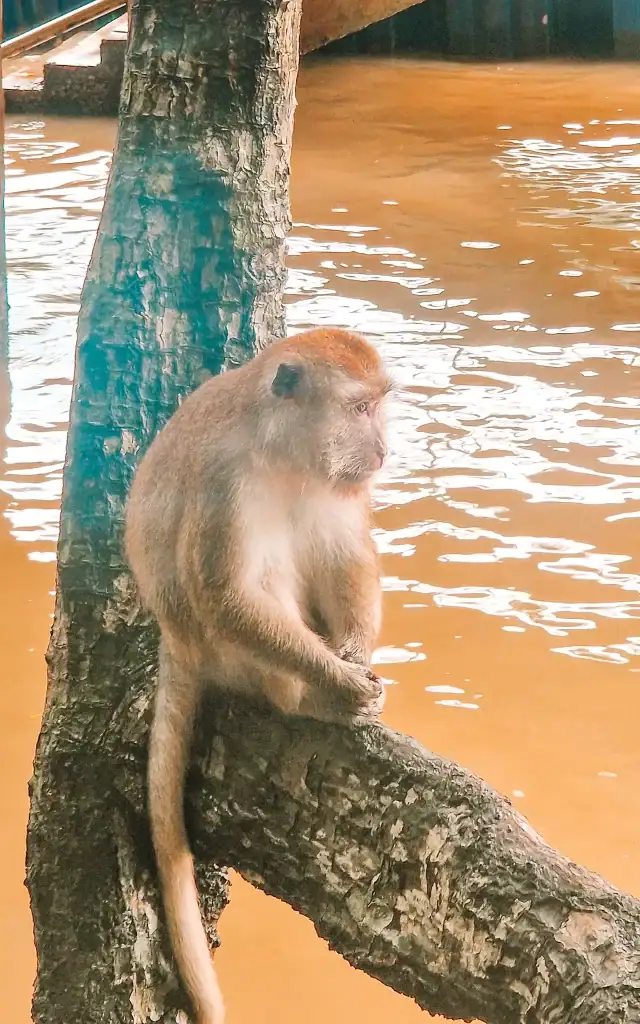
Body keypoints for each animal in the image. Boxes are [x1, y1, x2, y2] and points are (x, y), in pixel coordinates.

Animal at [124, 327, 391, 1024]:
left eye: (379, 407)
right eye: (359, 409)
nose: (384, 449)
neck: (284, 450)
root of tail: (174, 638)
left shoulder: (336, 481)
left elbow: (347, 548)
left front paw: (353, 657)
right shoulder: (225, 480)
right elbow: (229, 594)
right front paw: (342, 683)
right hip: (217, 648)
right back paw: (308, 700)